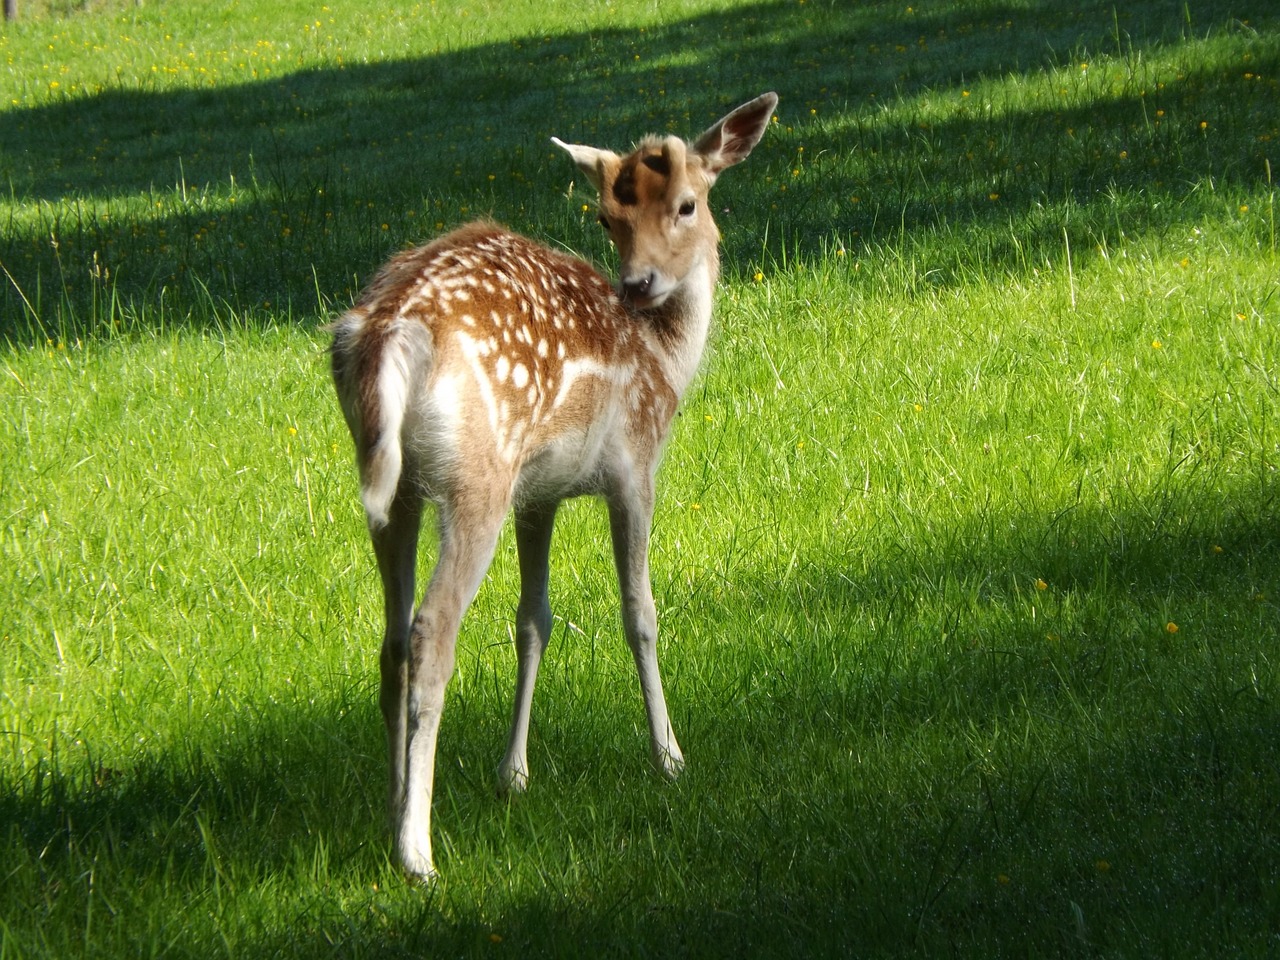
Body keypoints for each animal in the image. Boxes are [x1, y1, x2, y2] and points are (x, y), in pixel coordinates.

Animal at [330, 94, 773, 885]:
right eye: (605, 217)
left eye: (685, 204)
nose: (639, 284)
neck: (668, 361)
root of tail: (384, 332)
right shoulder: (634, 465)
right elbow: (640, 613)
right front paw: (669, 757)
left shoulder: (539, 494)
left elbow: (532, 619)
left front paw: (514, 773)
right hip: (477, 476)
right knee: (432, 630)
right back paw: (418, 851)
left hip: (393, 488)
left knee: (392, 639)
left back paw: (391, 812)